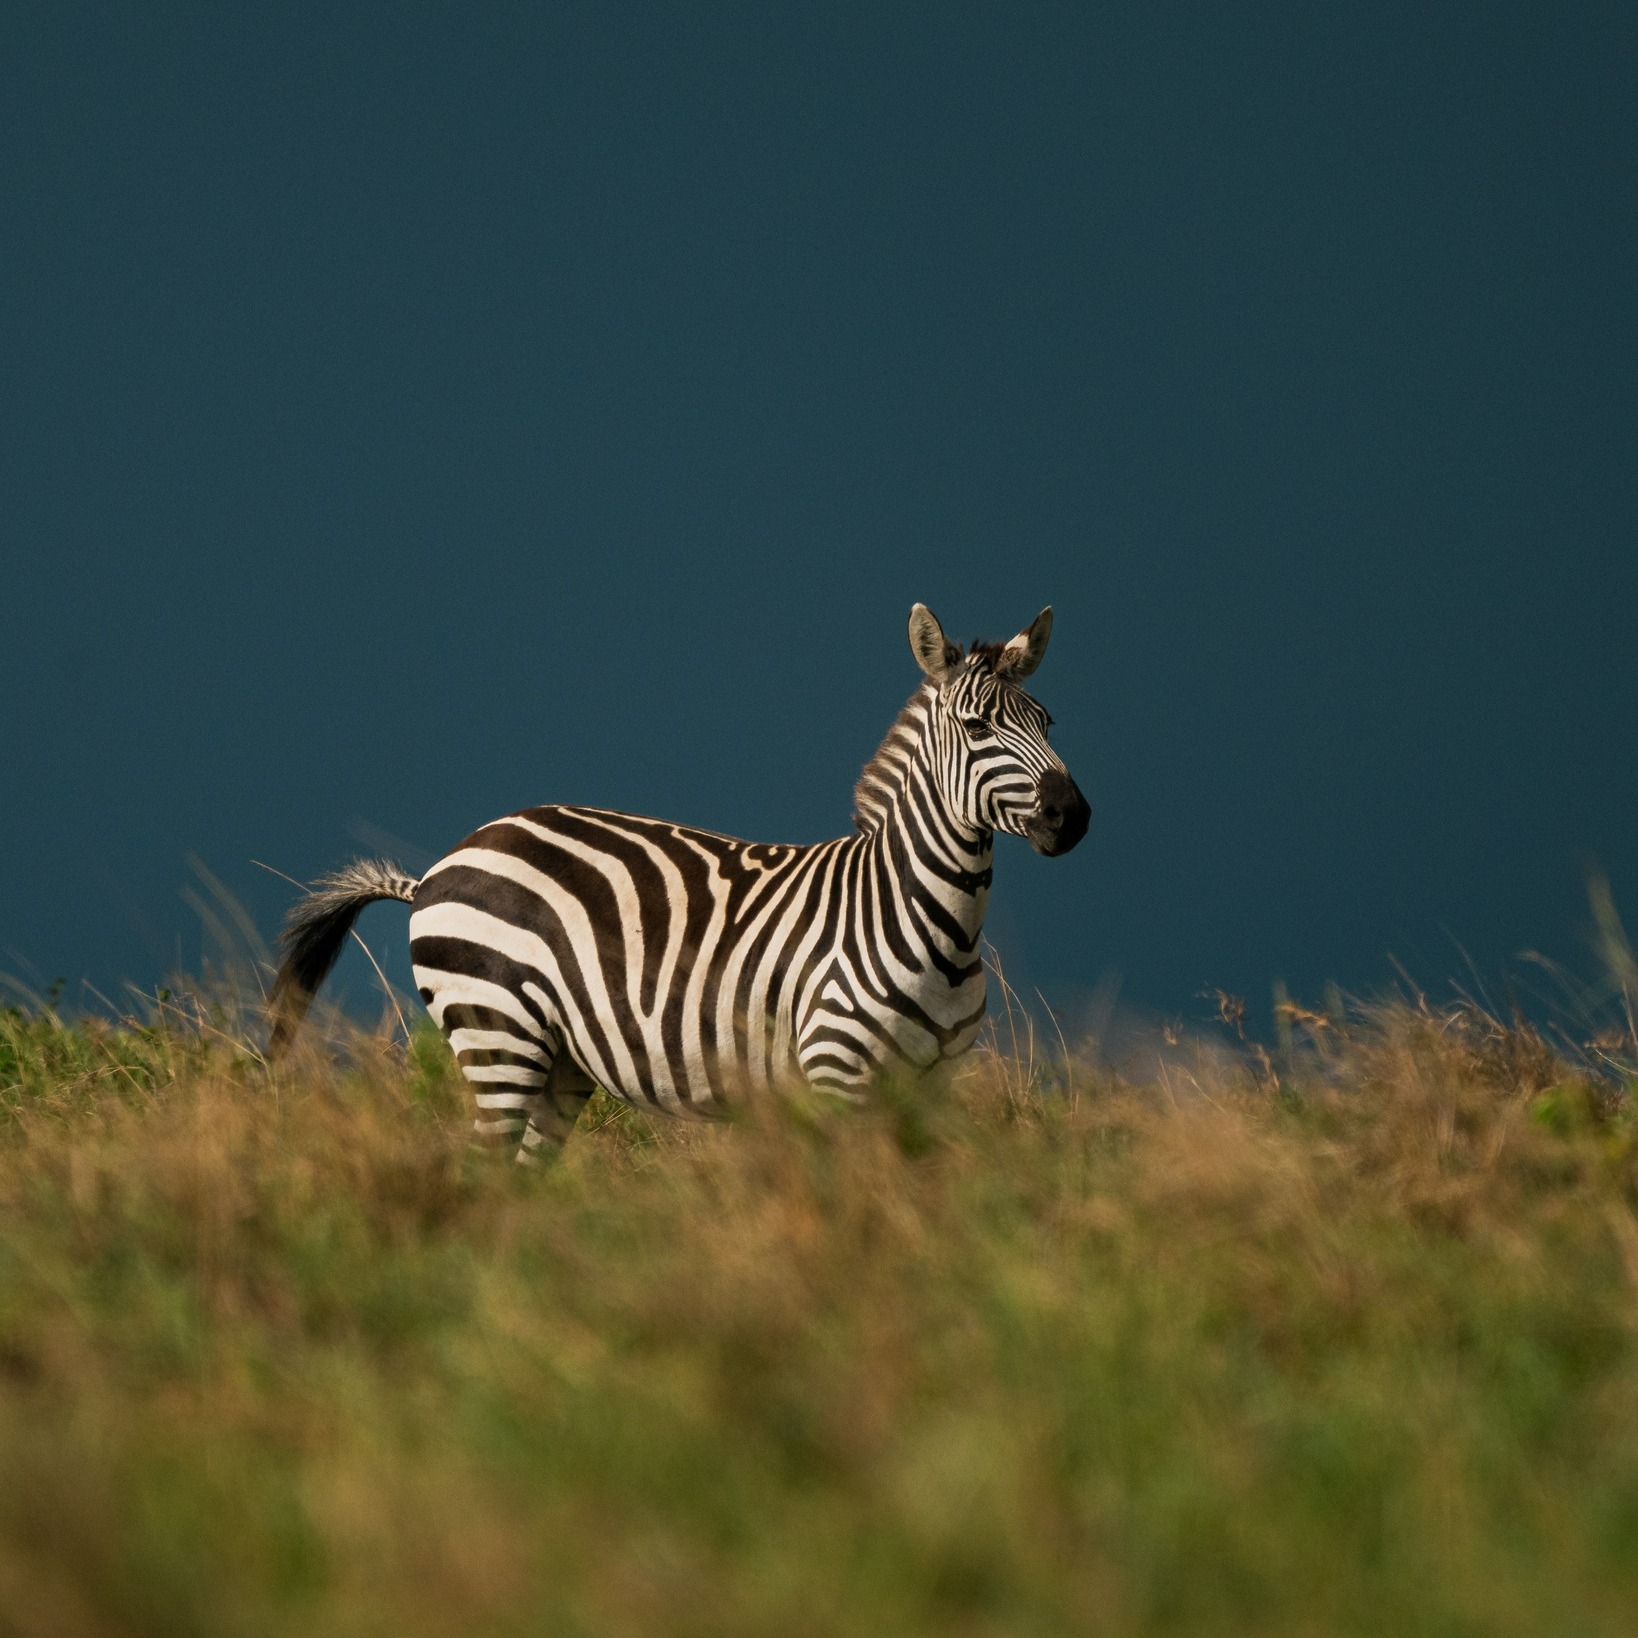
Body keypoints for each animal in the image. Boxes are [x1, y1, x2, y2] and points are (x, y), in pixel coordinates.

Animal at [269, 603, 1090, 1160]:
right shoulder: (837, 1073)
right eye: (978, 728)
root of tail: (438, 868)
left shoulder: (930, 1090)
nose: (1072, 816)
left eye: (1049, 722)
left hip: (557, 1065)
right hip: (496, 1032)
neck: (931, 923)